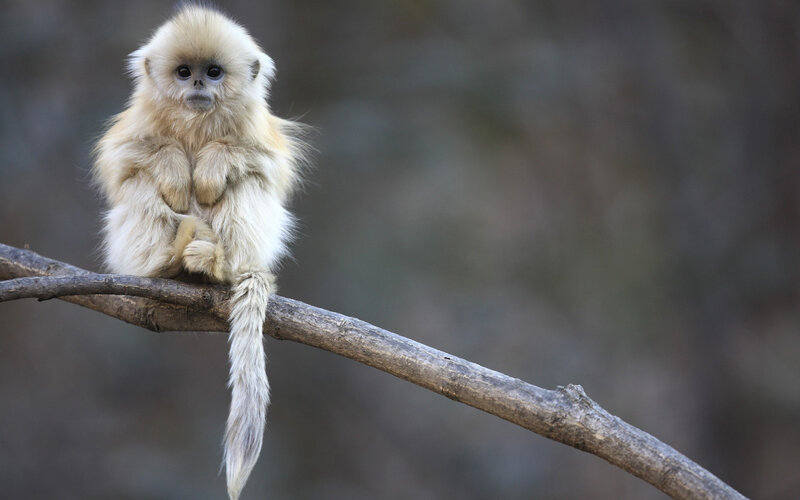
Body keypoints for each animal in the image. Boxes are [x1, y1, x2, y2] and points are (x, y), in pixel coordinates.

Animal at [92, 5, 305, 499]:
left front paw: (209, 169)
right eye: (184, 72)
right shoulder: (136, 125)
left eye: (214, 72)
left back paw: (216, 265)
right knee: (140, 183)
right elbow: (123, 161)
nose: (198, 87)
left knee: (248, 183)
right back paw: (165, 265)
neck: (196, 122)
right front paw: (174, 169)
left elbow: (266, 165)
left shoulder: (258, 132)